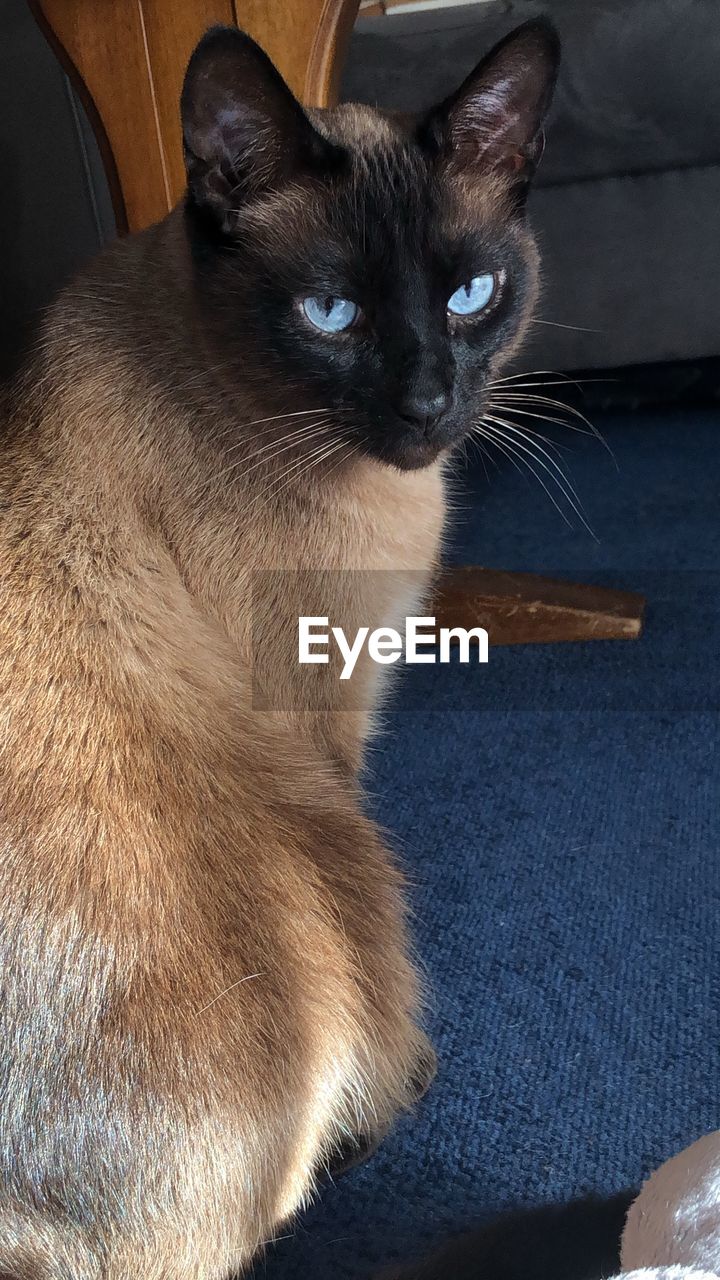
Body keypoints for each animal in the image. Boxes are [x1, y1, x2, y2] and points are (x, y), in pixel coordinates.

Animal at [0, 20, 556, 1280]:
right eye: (331, 314)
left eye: (473, 294)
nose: (430, 401)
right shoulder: (324, 724)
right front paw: (401, 1082)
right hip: (321, 858)